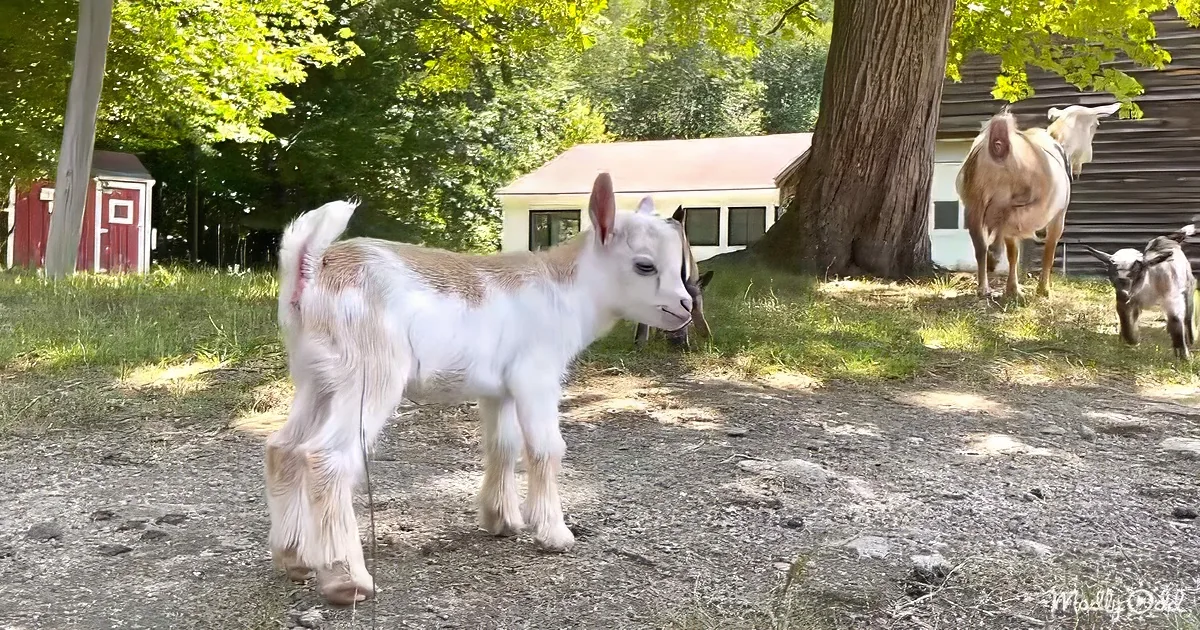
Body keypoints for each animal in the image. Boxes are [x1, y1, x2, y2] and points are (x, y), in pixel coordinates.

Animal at [265, 172, 695, 606]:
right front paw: (554, 534)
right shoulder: (536, 376)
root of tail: (314, 267)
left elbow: (502, 445)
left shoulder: (499, 390)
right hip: (371, 373)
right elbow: (546, 448)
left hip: (317, 378)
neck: (567, 290)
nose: (685, 306)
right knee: (329, 456)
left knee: (283, 448)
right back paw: (346, 579)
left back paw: (293, 557)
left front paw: (501, 519)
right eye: (645, 265)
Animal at [956, 102, 1121, 300]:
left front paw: (1013, 289)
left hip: (974, 201)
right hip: (1028, 202)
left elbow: (1013, 253)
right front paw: (1044, 289)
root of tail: (1000, 148)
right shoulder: (1058, 216)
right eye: (1096, 125)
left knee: (981, 244)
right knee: (1005, 220)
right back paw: (994, 257)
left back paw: (984, 284)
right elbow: (1049, 251)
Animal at [1082, 224, 1196, 359]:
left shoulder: (1172, 298)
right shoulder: (1129, 303)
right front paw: (1131, 340)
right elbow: (1126, 321)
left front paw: (1185, 357)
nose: (1123, 292)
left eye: (1137, 270)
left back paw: (1191, 340)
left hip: (1188, 287)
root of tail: (1167, 239)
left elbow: (1176, 321)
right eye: (1111, 271)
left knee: (1187, 315)